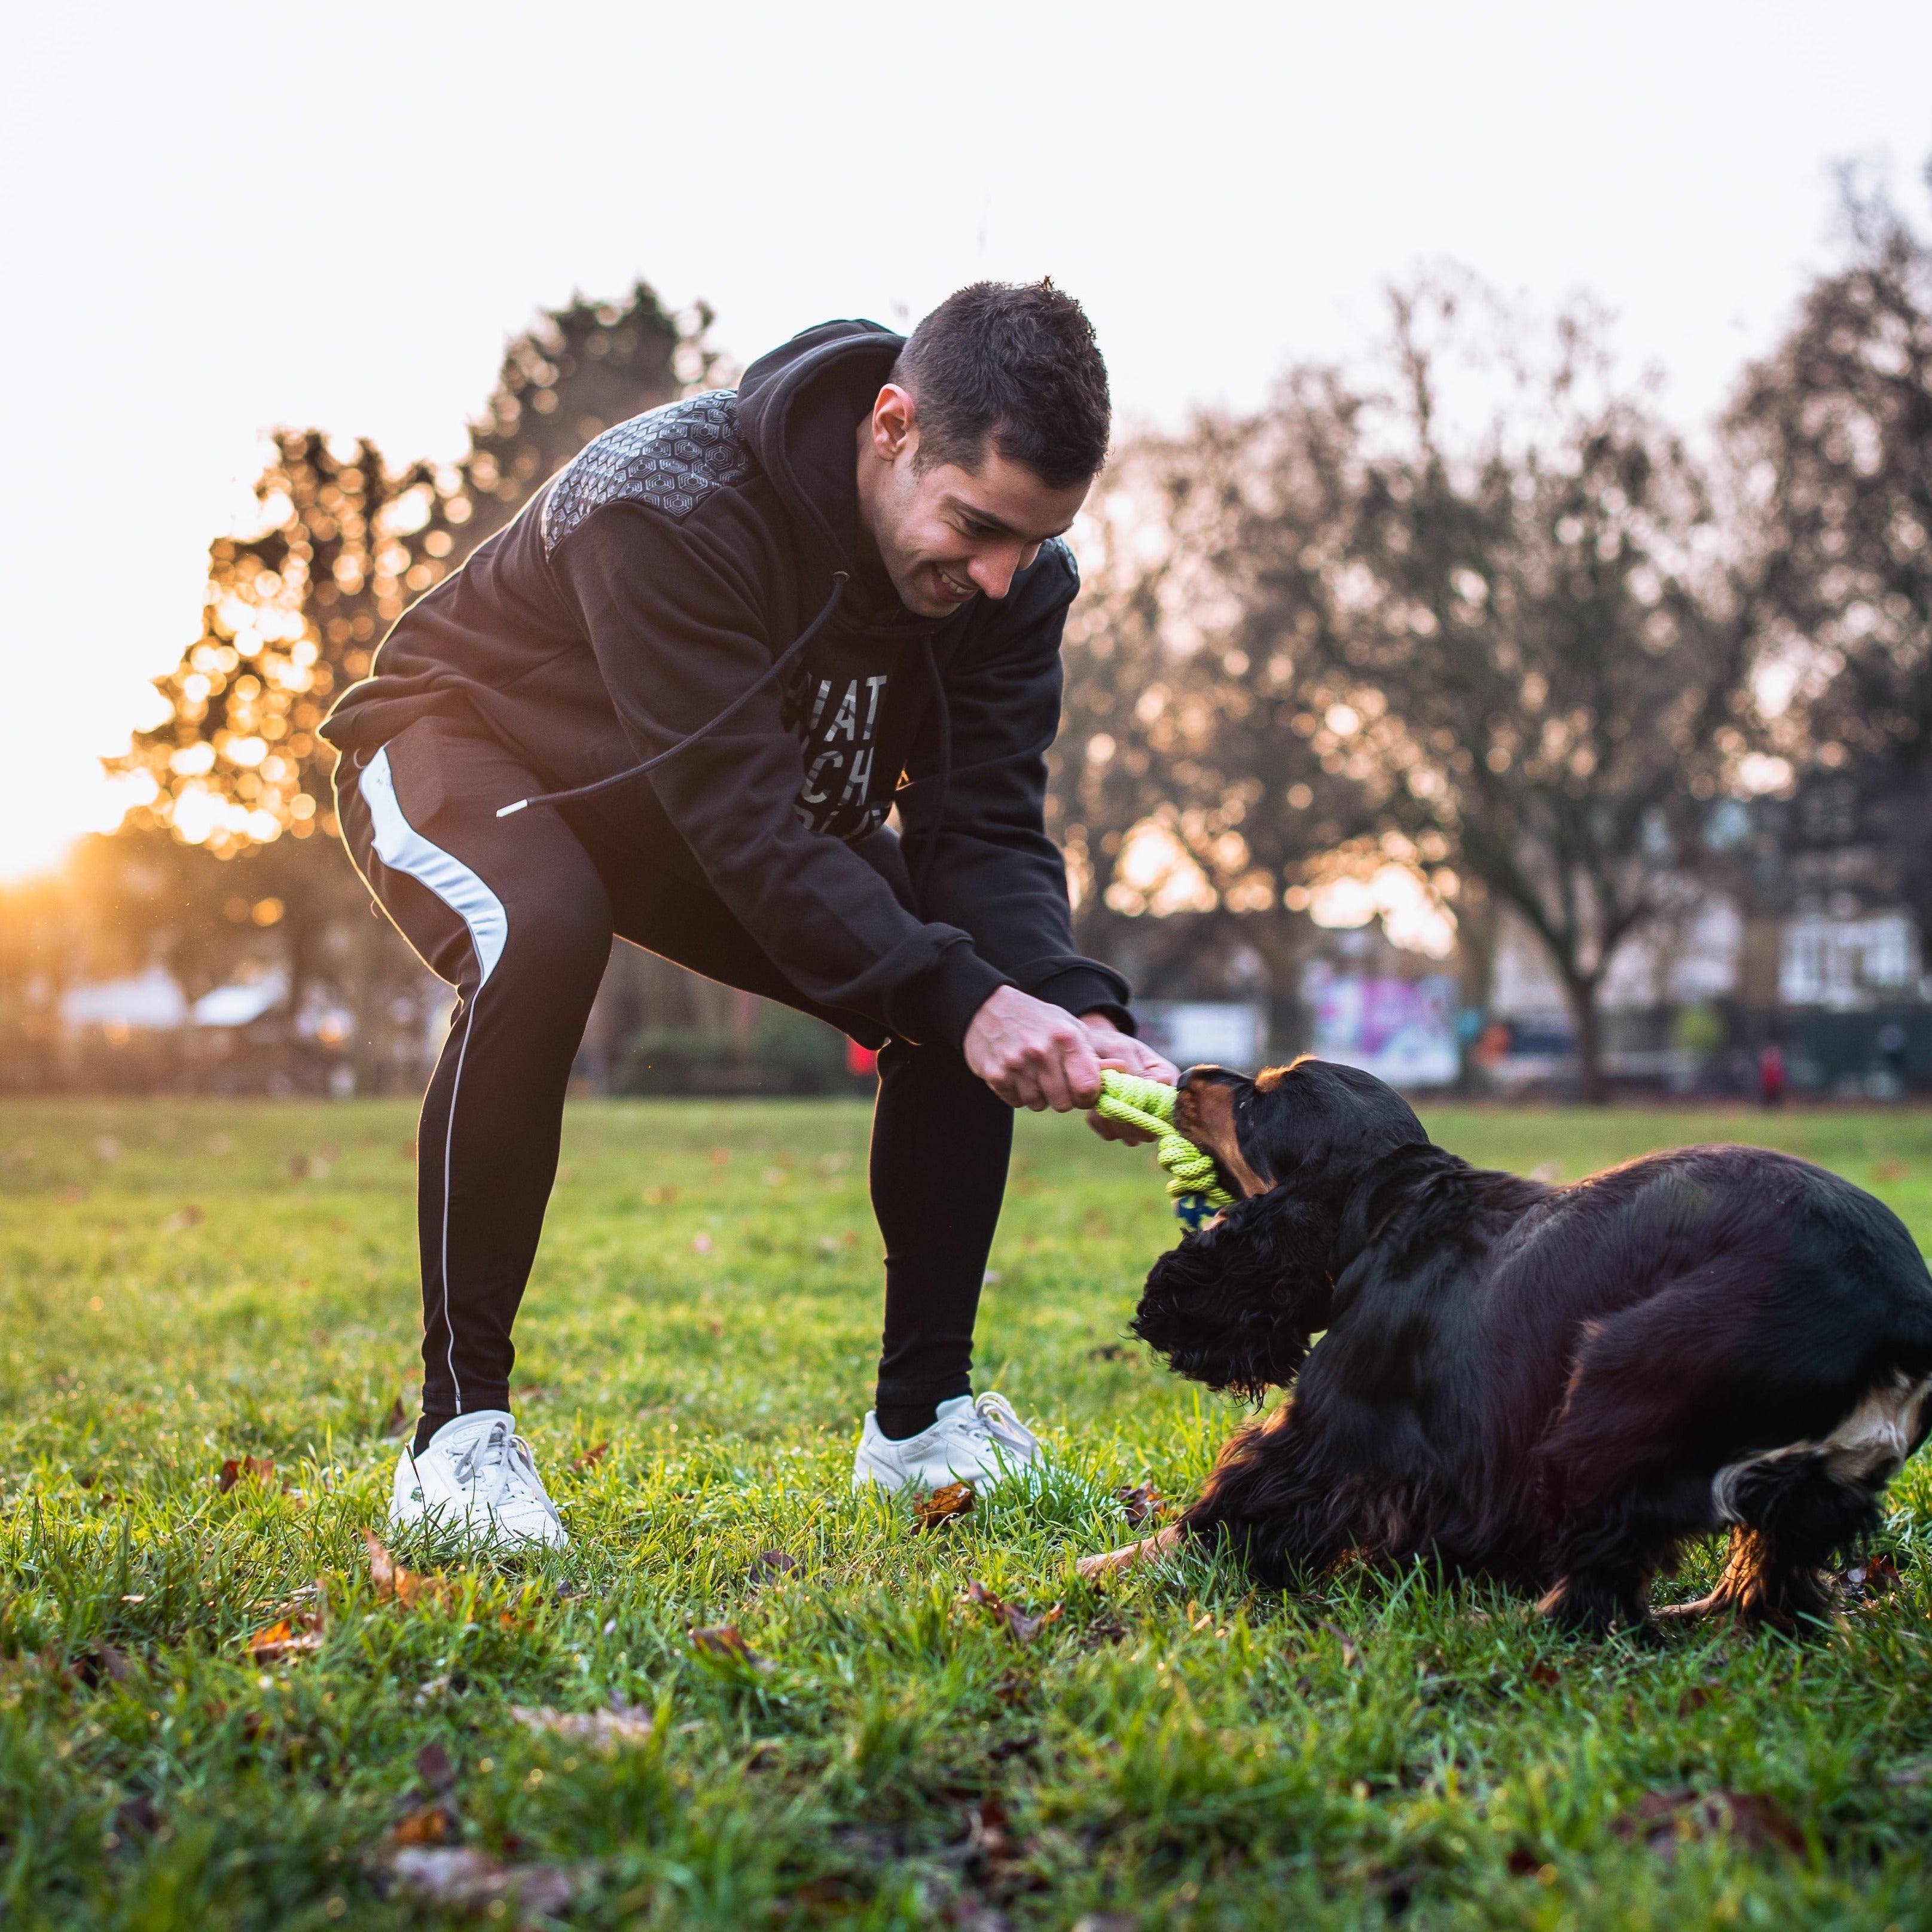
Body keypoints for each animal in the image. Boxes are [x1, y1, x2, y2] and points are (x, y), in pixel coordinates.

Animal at [1097, 1058, 1932, 1630]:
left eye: (1254, 1101)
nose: (1190, 1074)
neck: (1393, 1206)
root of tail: (1902, 1315)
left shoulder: (1328, 1432)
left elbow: (1218, 1517)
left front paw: (1100, 1565)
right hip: (1801, 1485)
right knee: (1770, 1574)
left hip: (1617, 1387)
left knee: (1600, 1586)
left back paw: (1513, 1624)